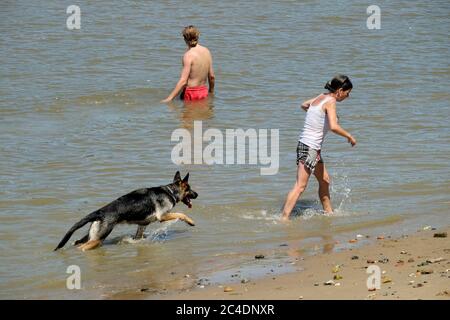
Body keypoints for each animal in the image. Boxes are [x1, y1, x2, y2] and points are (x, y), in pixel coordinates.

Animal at [54, 171, 197, 251]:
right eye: (190, 189)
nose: (197, 194)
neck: (171, 191)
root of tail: (100, 212)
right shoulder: (162, 216)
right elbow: (181, 214)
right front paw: (190, 221)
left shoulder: (142, 225)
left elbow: (138, 237)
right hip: (98, 239)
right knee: (81, 247)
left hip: (92, 236)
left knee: (78, 242)